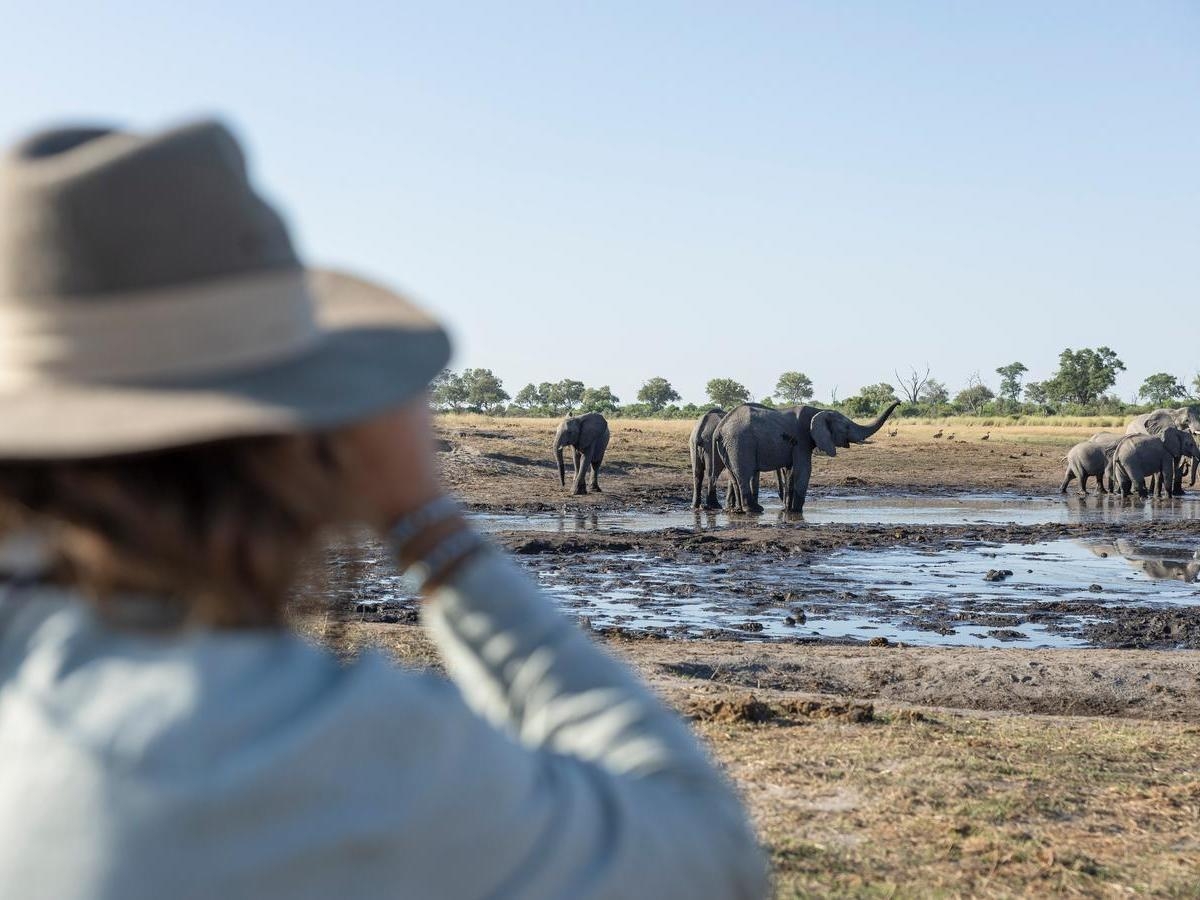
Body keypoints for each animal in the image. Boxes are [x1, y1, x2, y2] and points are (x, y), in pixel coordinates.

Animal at [713, 401, 899, 514]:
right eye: (846, 426)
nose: (899, 401)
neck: (819, 411)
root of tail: (720, 428)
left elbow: (791, 472)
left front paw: (787, 510)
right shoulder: (802, 439)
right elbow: (804, 470)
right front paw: (796, 511)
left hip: (728, 447)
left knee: (734, 476)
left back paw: (738, 511)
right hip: (739, 442)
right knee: (743, 475)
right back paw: (755, 509)